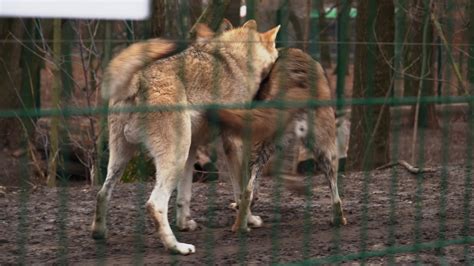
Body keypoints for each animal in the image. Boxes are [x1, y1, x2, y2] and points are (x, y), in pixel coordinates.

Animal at [90, 19, 280, 255]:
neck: (237, 62)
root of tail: (137, 80)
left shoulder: (193, 149)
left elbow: (184, 196)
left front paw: (185, 224)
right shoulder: (232, 144)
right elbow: (242, 189)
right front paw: (249, 220)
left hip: (124, 158)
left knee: (102, 193)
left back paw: (99, 233)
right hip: (173, 157)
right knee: (154, 204)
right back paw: (177, 247)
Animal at [217, 47, 346, 233]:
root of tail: (299, 85)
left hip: (258, 149)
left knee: (247, 189)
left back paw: (239, 225)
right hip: (324, 153)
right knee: (336, 196)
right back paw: (338, 220)